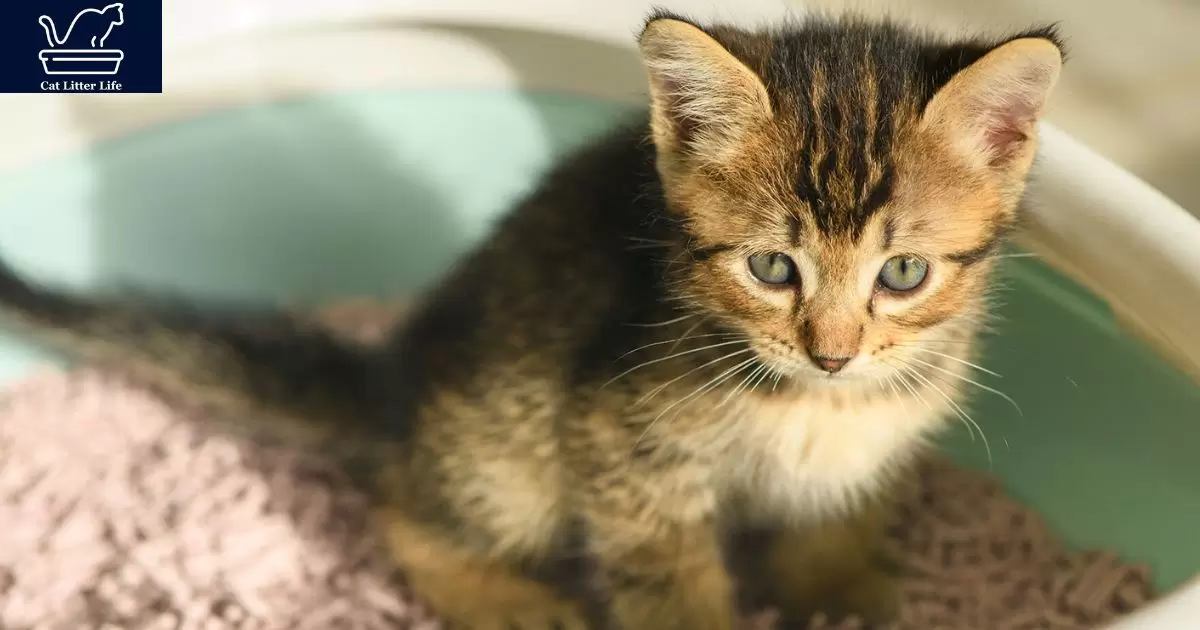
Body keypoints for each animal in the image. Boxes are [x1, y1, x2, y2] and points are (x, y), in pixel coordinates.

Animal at [0, 8, 1060, 628]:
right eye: (771, 267)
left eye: (904, 273)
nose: (833, 354)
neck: (816, 407)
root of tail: (396, 381)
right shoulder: (619, 439)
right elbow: (669, 583)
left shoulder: (870, 443)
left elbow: (838, 516)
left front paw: (844, 593)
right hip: (505, 440)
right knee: (405, 508)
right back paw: (507, 598)